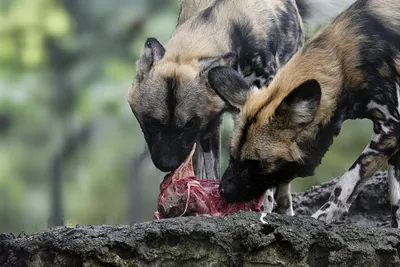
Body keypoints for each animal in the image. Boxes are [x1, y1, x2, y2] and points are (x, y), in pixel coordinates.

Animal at [129, 0, 356, 216]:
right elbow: (210, 171)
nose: (167, 164)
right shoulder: (209, 126)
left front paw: (263, 205)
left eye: (188, 125)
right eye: (152, 123)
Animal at [208, 0, 400, 227]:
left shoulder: (391, 128)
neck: (342, 63)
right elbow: (396, 199)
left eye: (254, 163)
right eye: (232, 156)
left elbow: (346, 182)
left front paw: (321, 219)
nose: (222, 191)